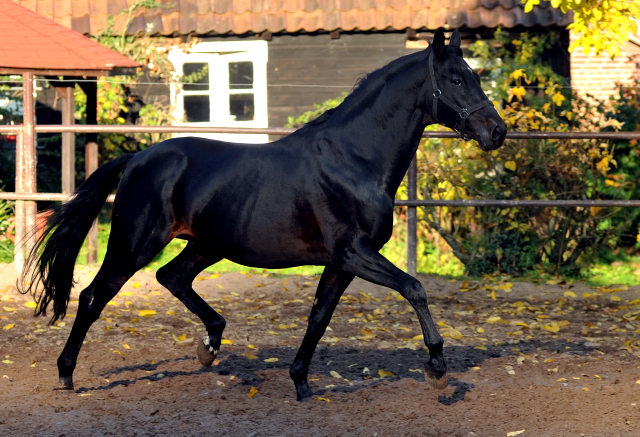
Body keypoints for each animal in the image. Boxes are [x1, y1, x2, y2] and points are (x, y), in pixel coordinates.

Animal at [21, 28, 504, 402]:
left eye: (476, 75)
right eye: (457, 78)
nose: (497, 131)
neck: (353, 159)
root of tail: (139, 158)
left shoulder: (340, 262)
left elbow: (319, 318)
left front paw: (301, 382)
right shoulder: (355, 253)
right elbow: (414, 288)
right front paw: (437, 368)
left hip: (207, 245)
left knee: (171, 277)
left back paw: (210, 345)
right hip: (134, 244)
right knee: (93, 297)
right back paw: (66, 373)